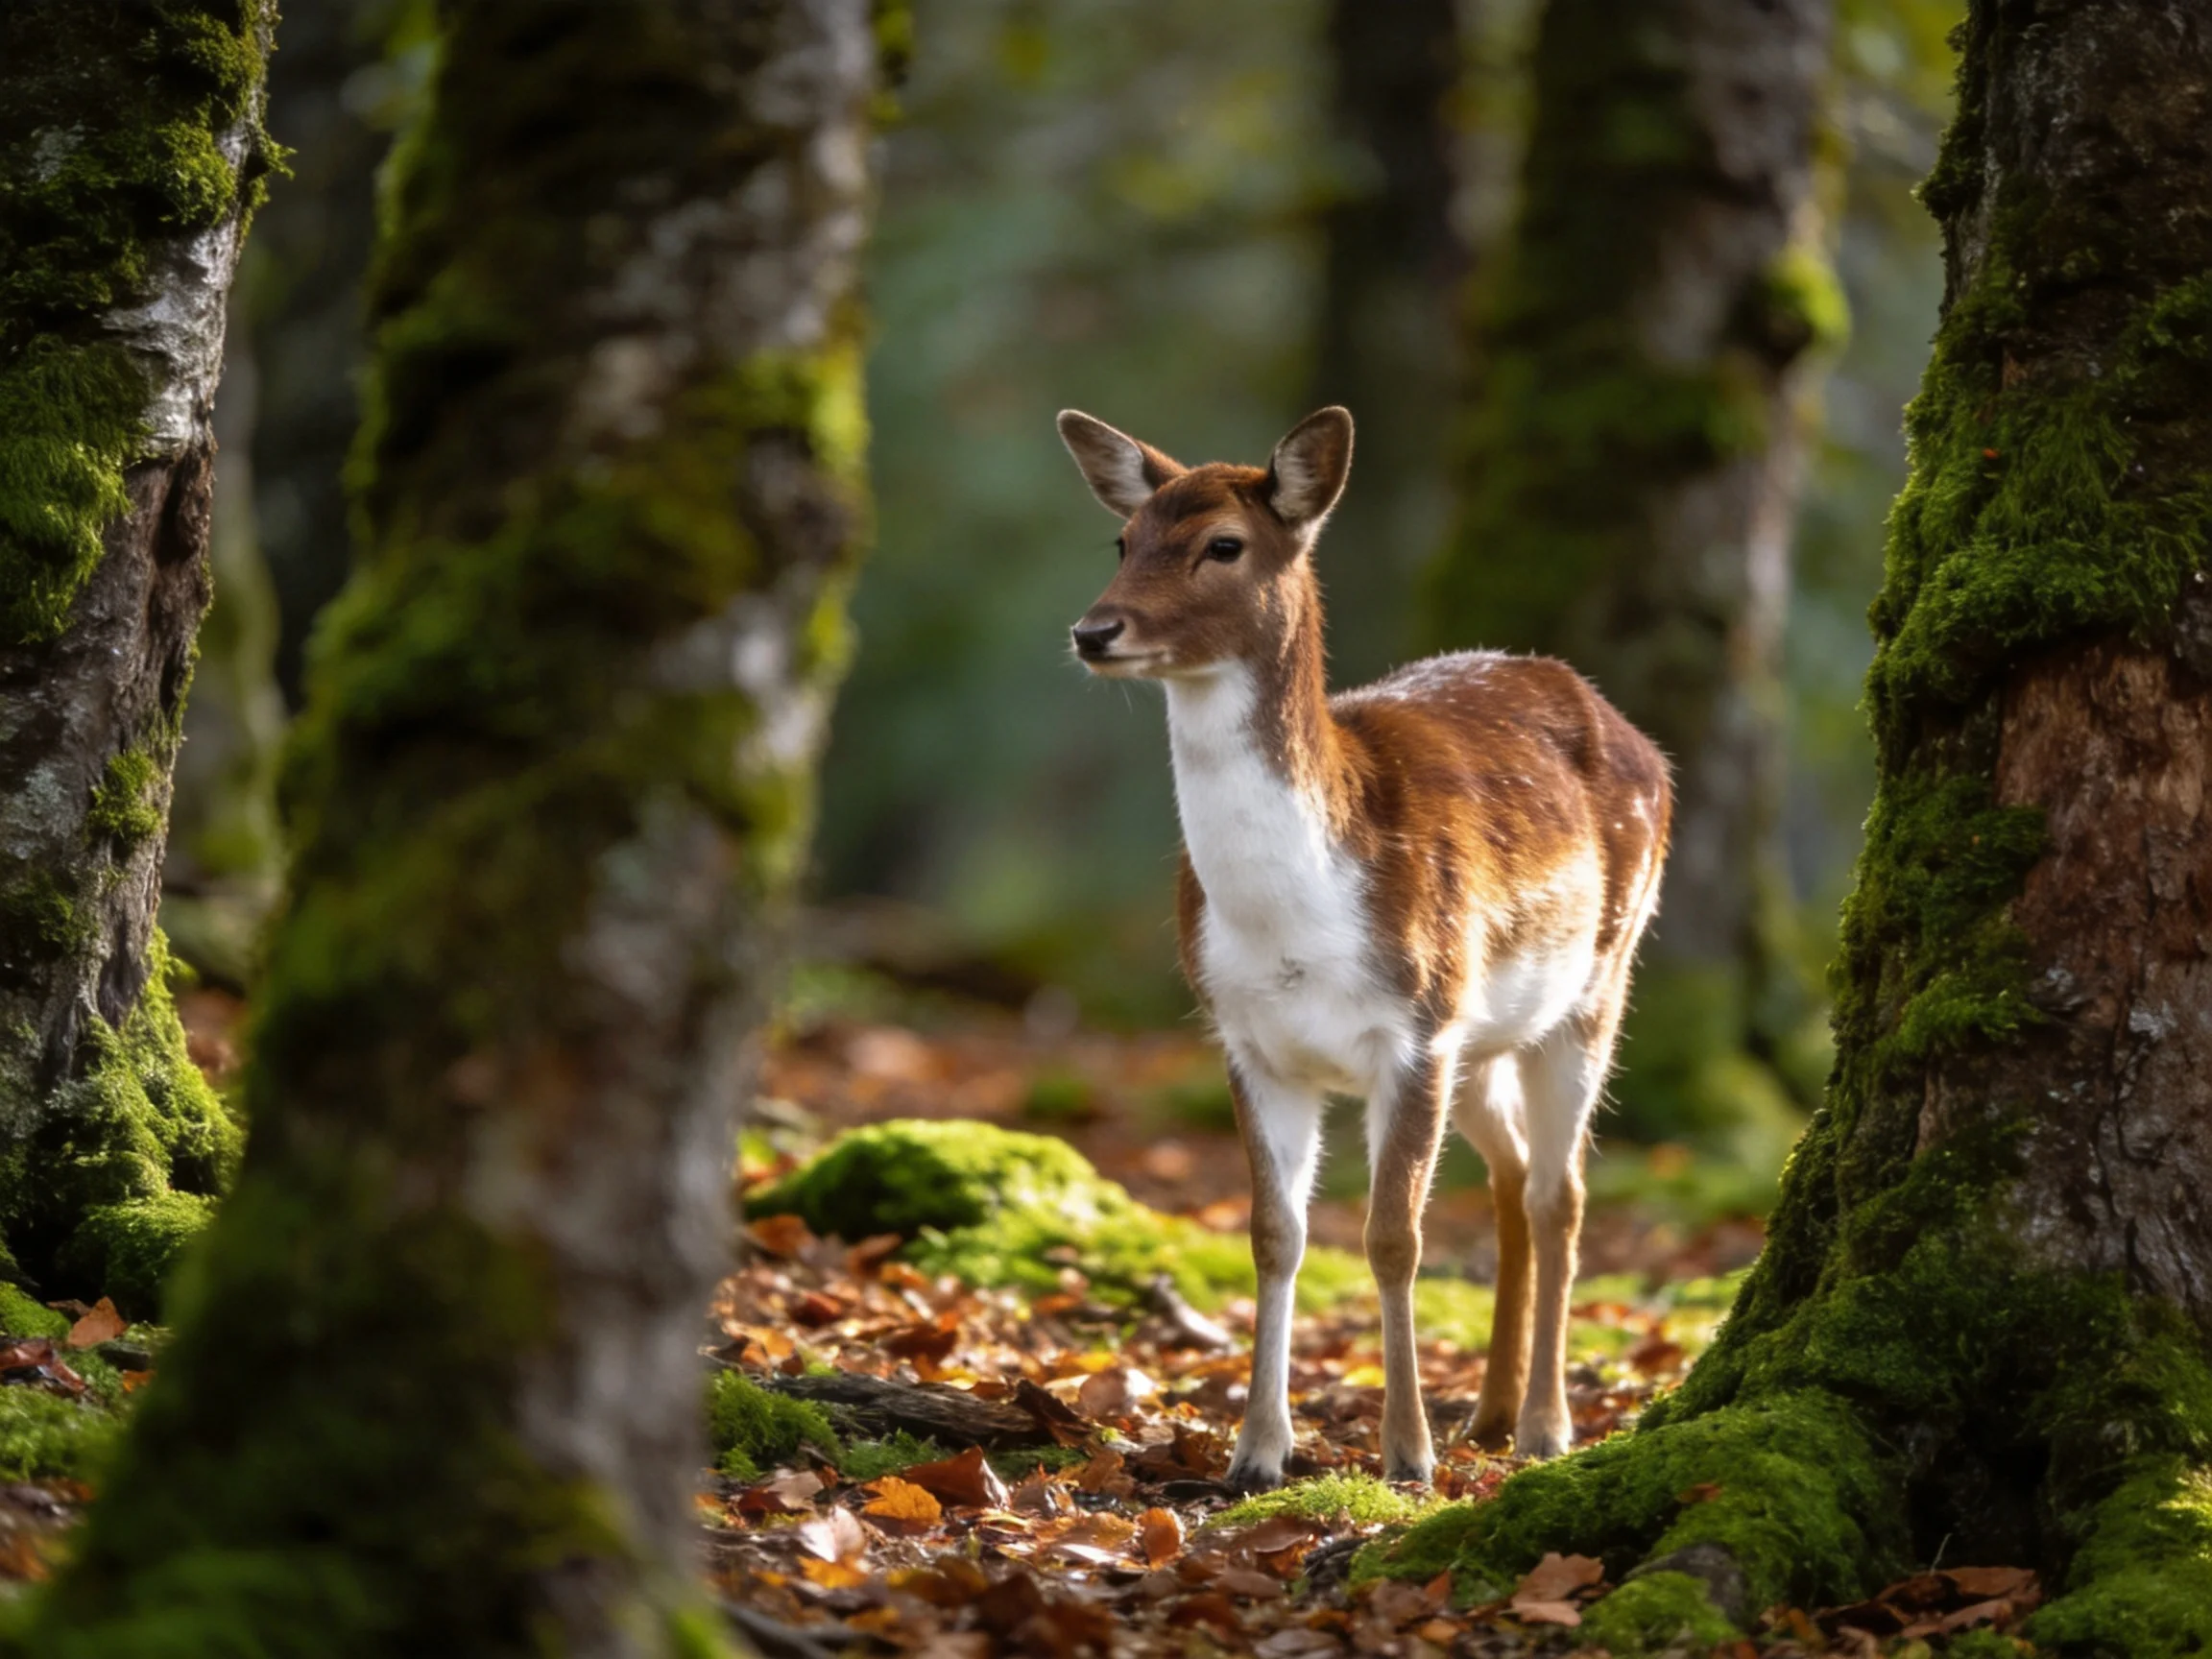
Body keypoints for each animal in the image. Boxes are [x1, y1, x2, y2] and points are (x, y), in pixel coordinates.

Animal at [1057, 406, 1671, 1488]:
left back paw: (1544, 1427)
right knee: (1512, 1176)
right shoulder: (1247, 1037)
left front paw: (1405, 1455)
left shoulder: (1414, 1029)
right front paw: (1257, 1453)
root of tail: (1644, 741)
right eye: (1122, 541)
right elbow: (1275, 1234)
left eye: (1224, 545)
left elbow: (1393, 1239)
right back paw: (1491, 1413)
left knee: (1560, 1190)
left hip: (1598, 976)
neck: (1295, 921)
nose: (1095, 630)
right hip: (1482, 1034)